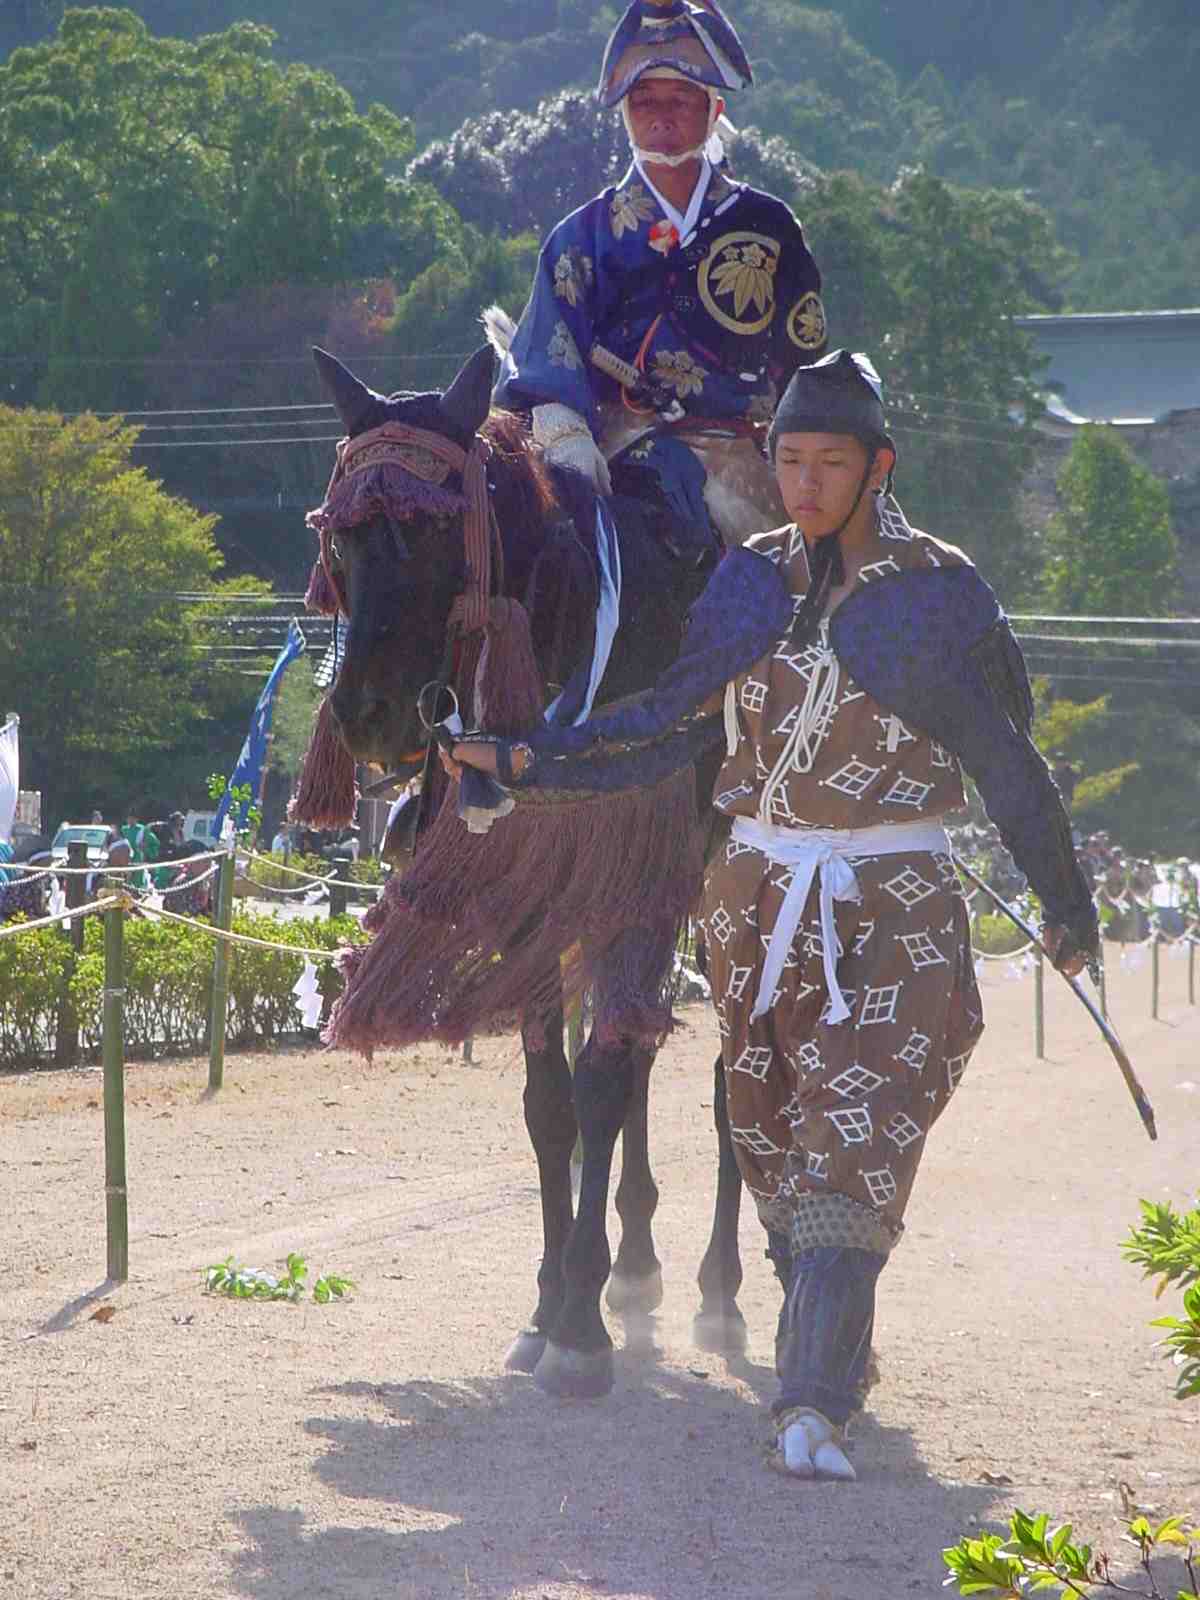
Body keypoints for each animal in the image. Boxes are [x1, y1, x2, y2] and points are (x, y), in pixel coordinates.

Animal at [294, 344, 761, 1395]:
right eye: (343, 538)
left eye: (434, 531)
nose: (367, 712)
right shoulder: (530, 887)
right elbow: (554, 1103)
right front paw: (552, 1303)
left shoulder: (641, 865)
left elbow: (601, 1086)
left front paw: (580, 1330)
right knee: (637, 1047)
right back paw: (636, 1266)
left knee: (722, 1071)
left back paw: (718, 1289)